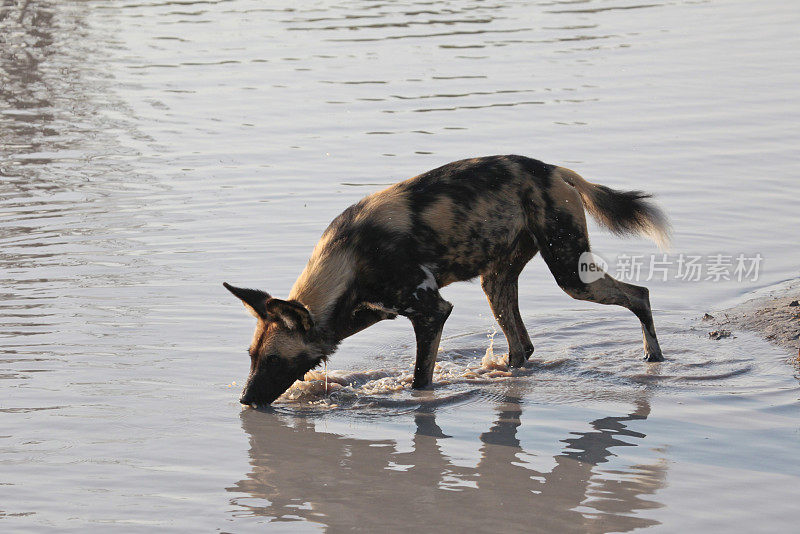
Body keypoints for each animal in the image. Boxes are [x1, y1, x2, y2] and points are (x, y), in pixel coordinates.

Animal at [223, 157, 668, 408]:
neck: (350, 259)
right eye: (251, 357)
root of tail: (553, 170)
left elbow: (422, 378)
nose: (245, 399)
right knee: (521, 346)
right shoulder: (365, 313)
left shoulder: (431, 312)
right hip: (497, 283)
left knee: (640, 295)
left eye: (273, 360)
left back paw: (654, 357)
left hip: (571, 276)